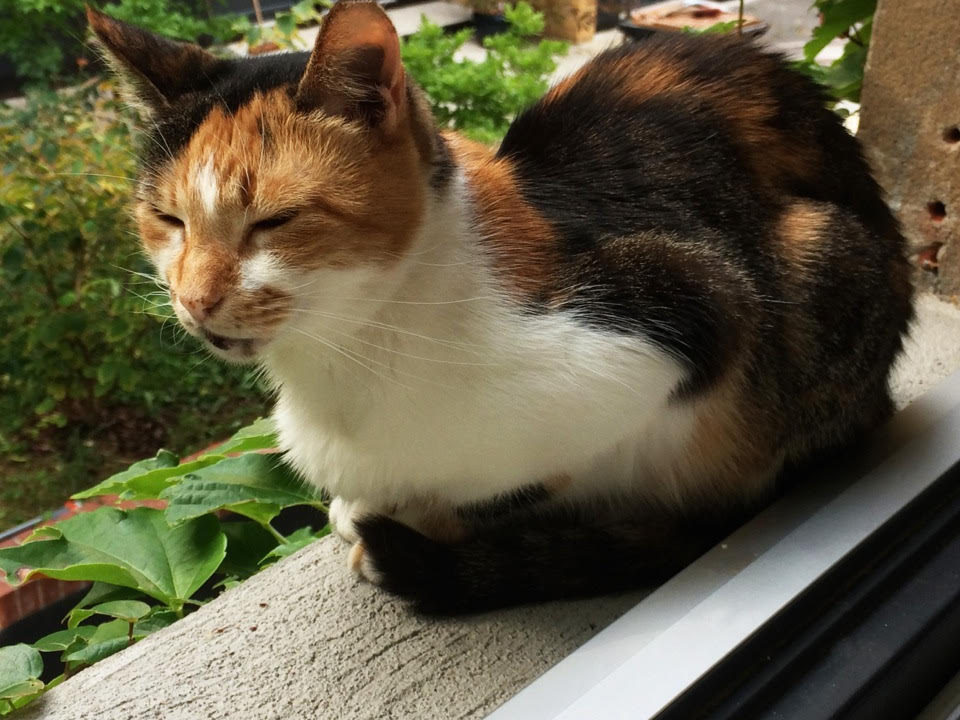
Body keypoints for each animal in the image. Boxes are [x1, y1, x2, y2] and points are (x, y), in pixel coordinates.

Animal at [90, 1, 916, 612]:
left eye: (275, 221)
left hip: (819, 256)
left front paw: (403, 524)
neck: (347, 358)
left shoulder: (685, 317)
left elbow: (520, 480)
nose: (194, 299)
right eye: (166, 218)